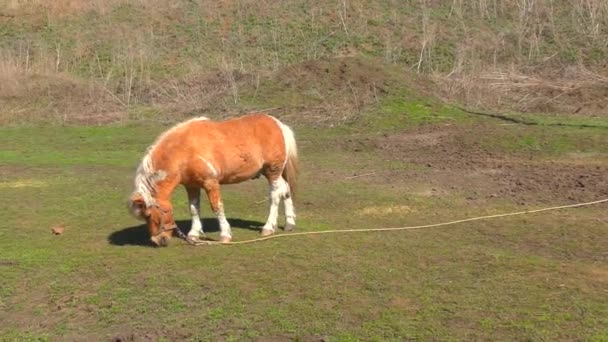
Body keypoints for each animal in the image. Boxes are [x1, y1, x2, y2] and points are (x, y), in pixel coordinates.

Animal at [127, 113, 298, 247]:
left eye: (149, 215)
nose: (158, 241)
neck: (185, 151)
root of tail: (278, 125)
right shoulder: (192, 186)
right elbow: (194, 209)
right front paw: (194, 234)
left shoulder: (211, 183)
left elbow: (217, 207)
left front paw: (225, 235)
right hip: (277, 173)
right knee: (286, 190)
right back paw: (289, 223)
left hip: (272, 172)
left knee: (275, 195)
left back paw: (268, 227)